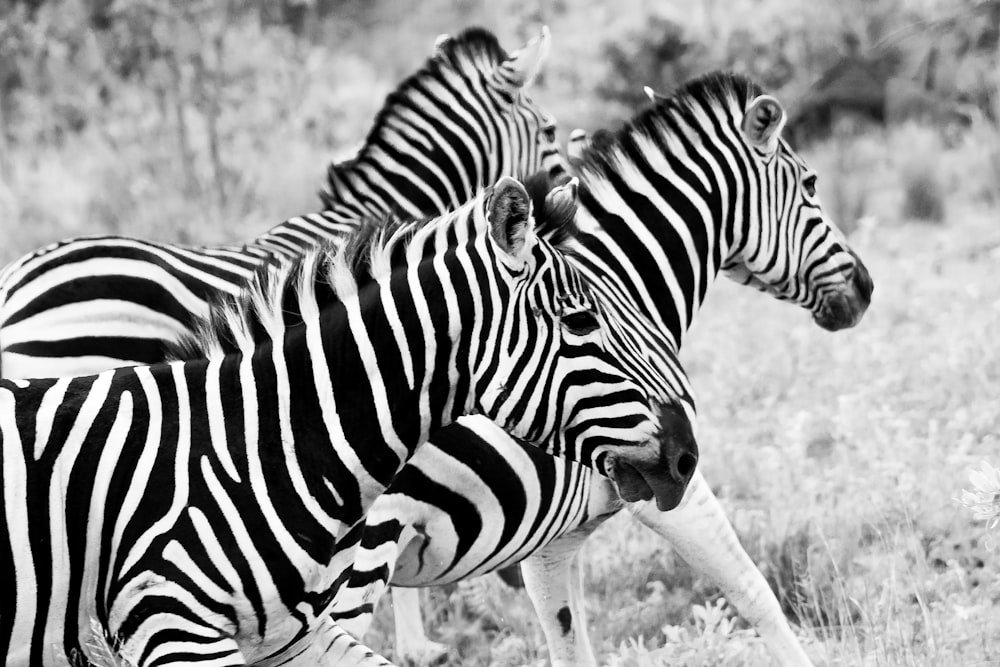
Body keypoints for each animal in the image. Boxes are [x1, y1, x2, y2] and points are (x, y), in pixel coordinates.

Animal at [314, 70, 868, 664]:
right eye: (810, 184)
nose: (865, 288)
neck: (621, 288)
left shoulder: (554, 541)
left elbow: (571, 642)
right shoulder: (668, 485)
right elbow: (753, 591)